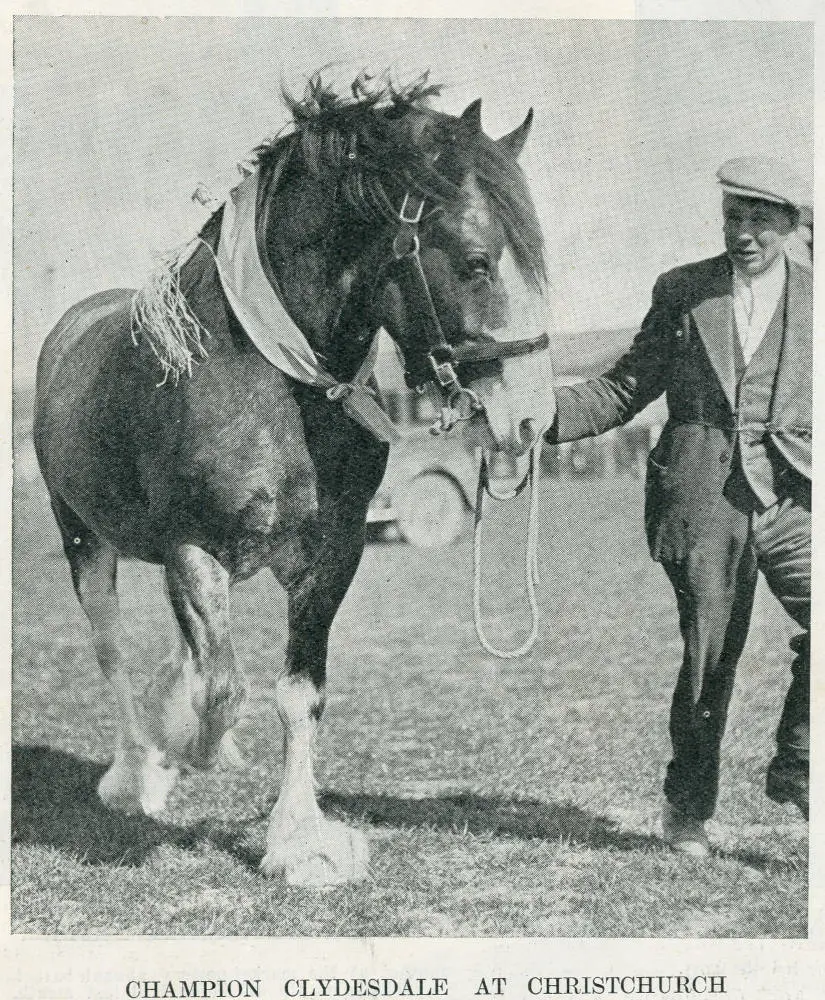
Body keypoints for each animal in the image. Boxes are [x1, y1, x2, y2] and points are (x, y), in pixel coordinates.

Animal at [35, 76, 556, 884]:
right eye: (476, 261)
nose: (532, 418)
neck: (272, 378)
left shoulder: (332, 556)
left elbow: (298, 694)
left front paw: (298, 840)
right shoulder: (193, 549)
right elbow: (224, 688)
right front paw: (187, 753)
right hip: (83, 539)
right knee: (112, 648)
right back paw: (134, 772)